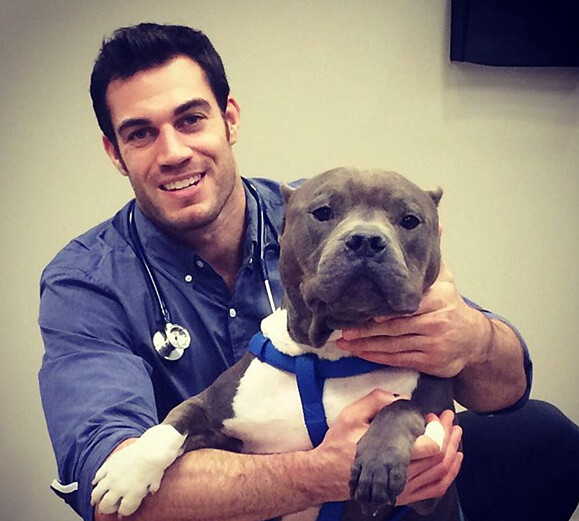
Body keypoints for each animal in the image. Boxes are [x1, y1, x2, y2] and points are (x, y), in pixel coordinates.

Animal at [91, 167, 460, 521]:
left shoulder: (432, 483)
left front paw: (379, 460)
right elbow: (172, 423)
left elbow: (402, 407)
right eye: (323, 212)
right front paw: (128, 473)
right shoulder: (214, 408)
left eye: (409, 220)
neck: (325, 357)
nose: (366, 240)